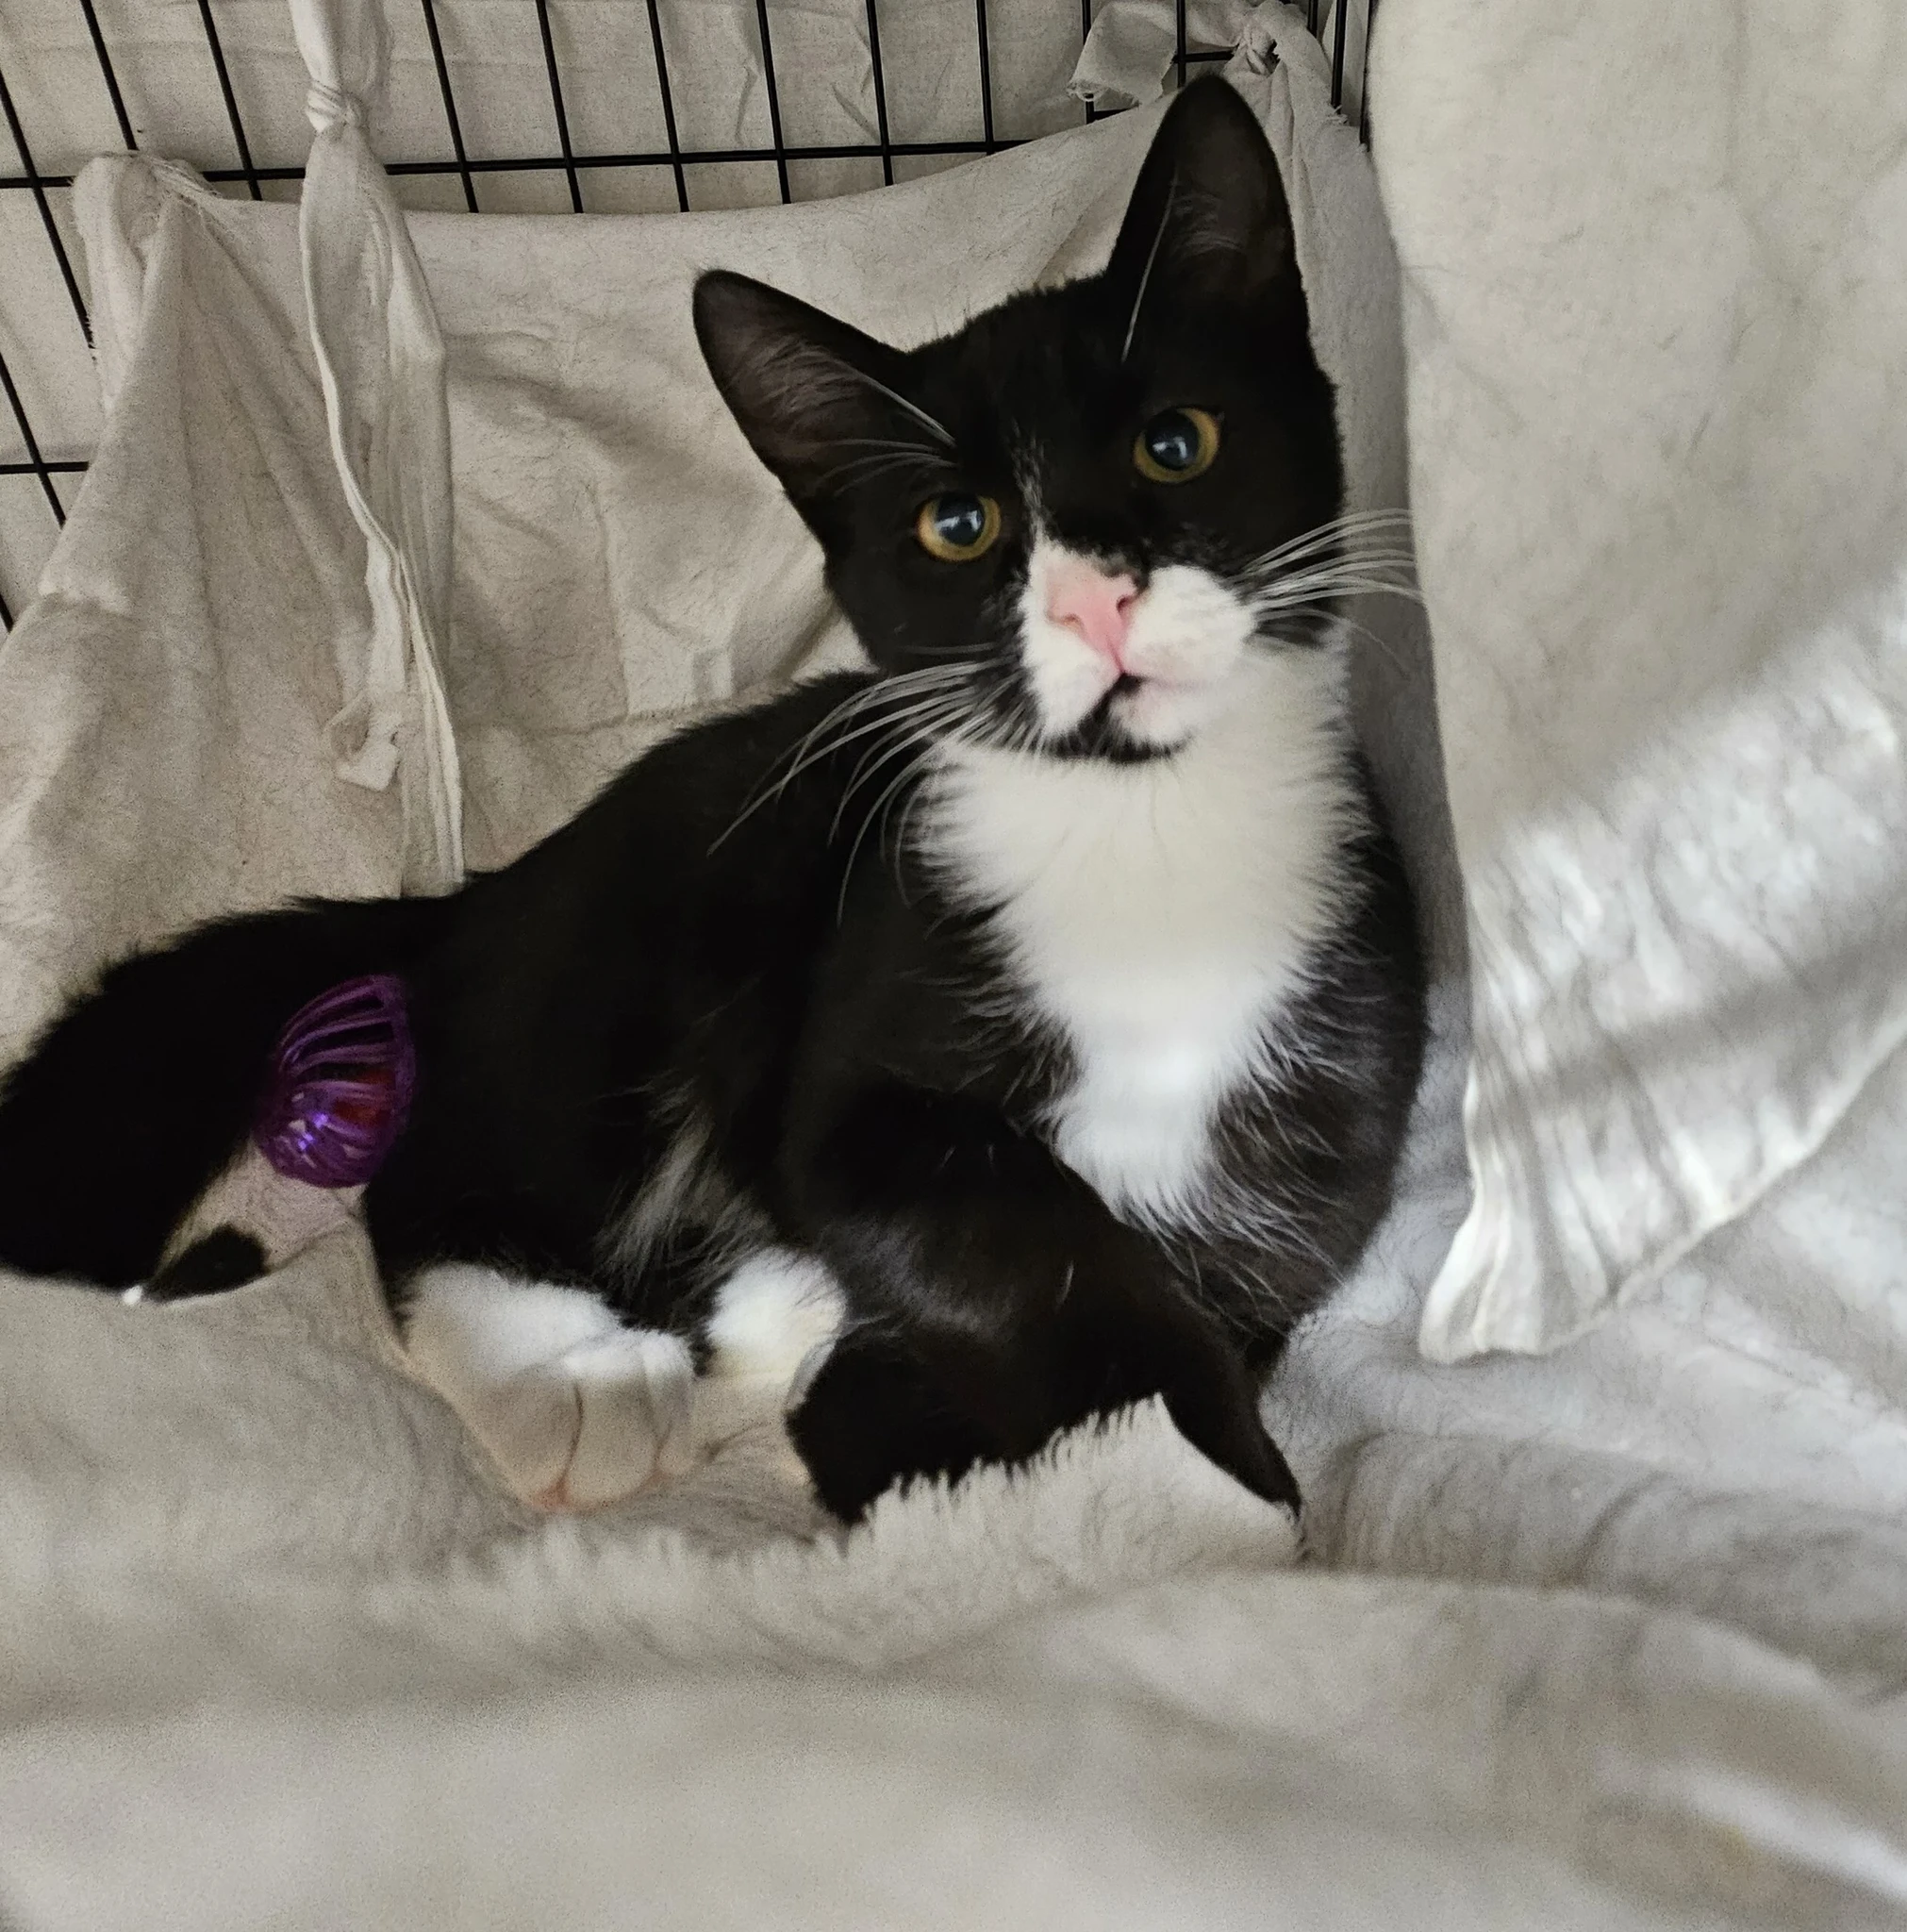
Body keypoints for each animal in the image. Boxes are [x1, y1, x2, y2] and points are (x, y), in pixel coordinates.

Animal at [0, 77, 1424, 1523]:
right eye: (956, 526)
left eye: (1176, 444)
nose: (1097, 599)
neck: (1143, 846)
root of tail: (489, 891)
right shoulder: (859, 1076)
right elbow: (1036, 1251)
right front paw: (1230, 1471)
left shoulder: (1335, 1092)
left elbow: (1220, 1282)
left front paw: (915, 1424)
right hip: (631, 950)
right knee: (440, 1163)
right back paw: (569, 1374)